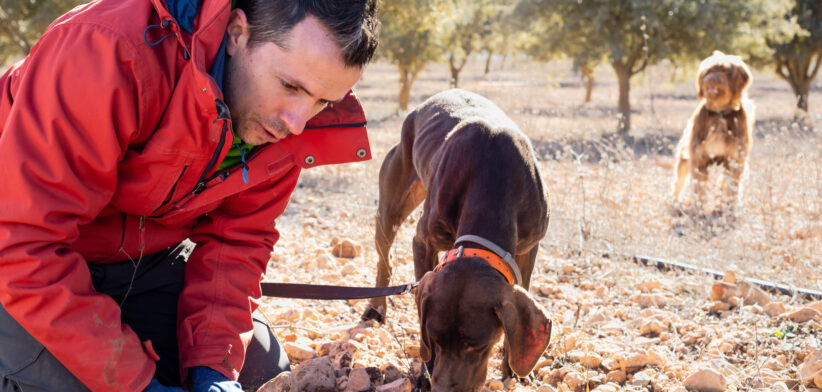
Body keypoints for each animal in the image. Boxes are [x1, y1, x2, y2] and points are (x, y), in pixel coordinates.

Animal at [366, 89, 552, 392]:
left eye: (477, 345)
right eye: (435, 339)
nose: (441, 388)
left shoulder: (529, 249)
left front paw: (513, 371)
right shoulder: (423, 242)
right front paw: (425, 373)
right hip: (389, 209)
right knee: (385, 259)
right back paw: (375, 308)